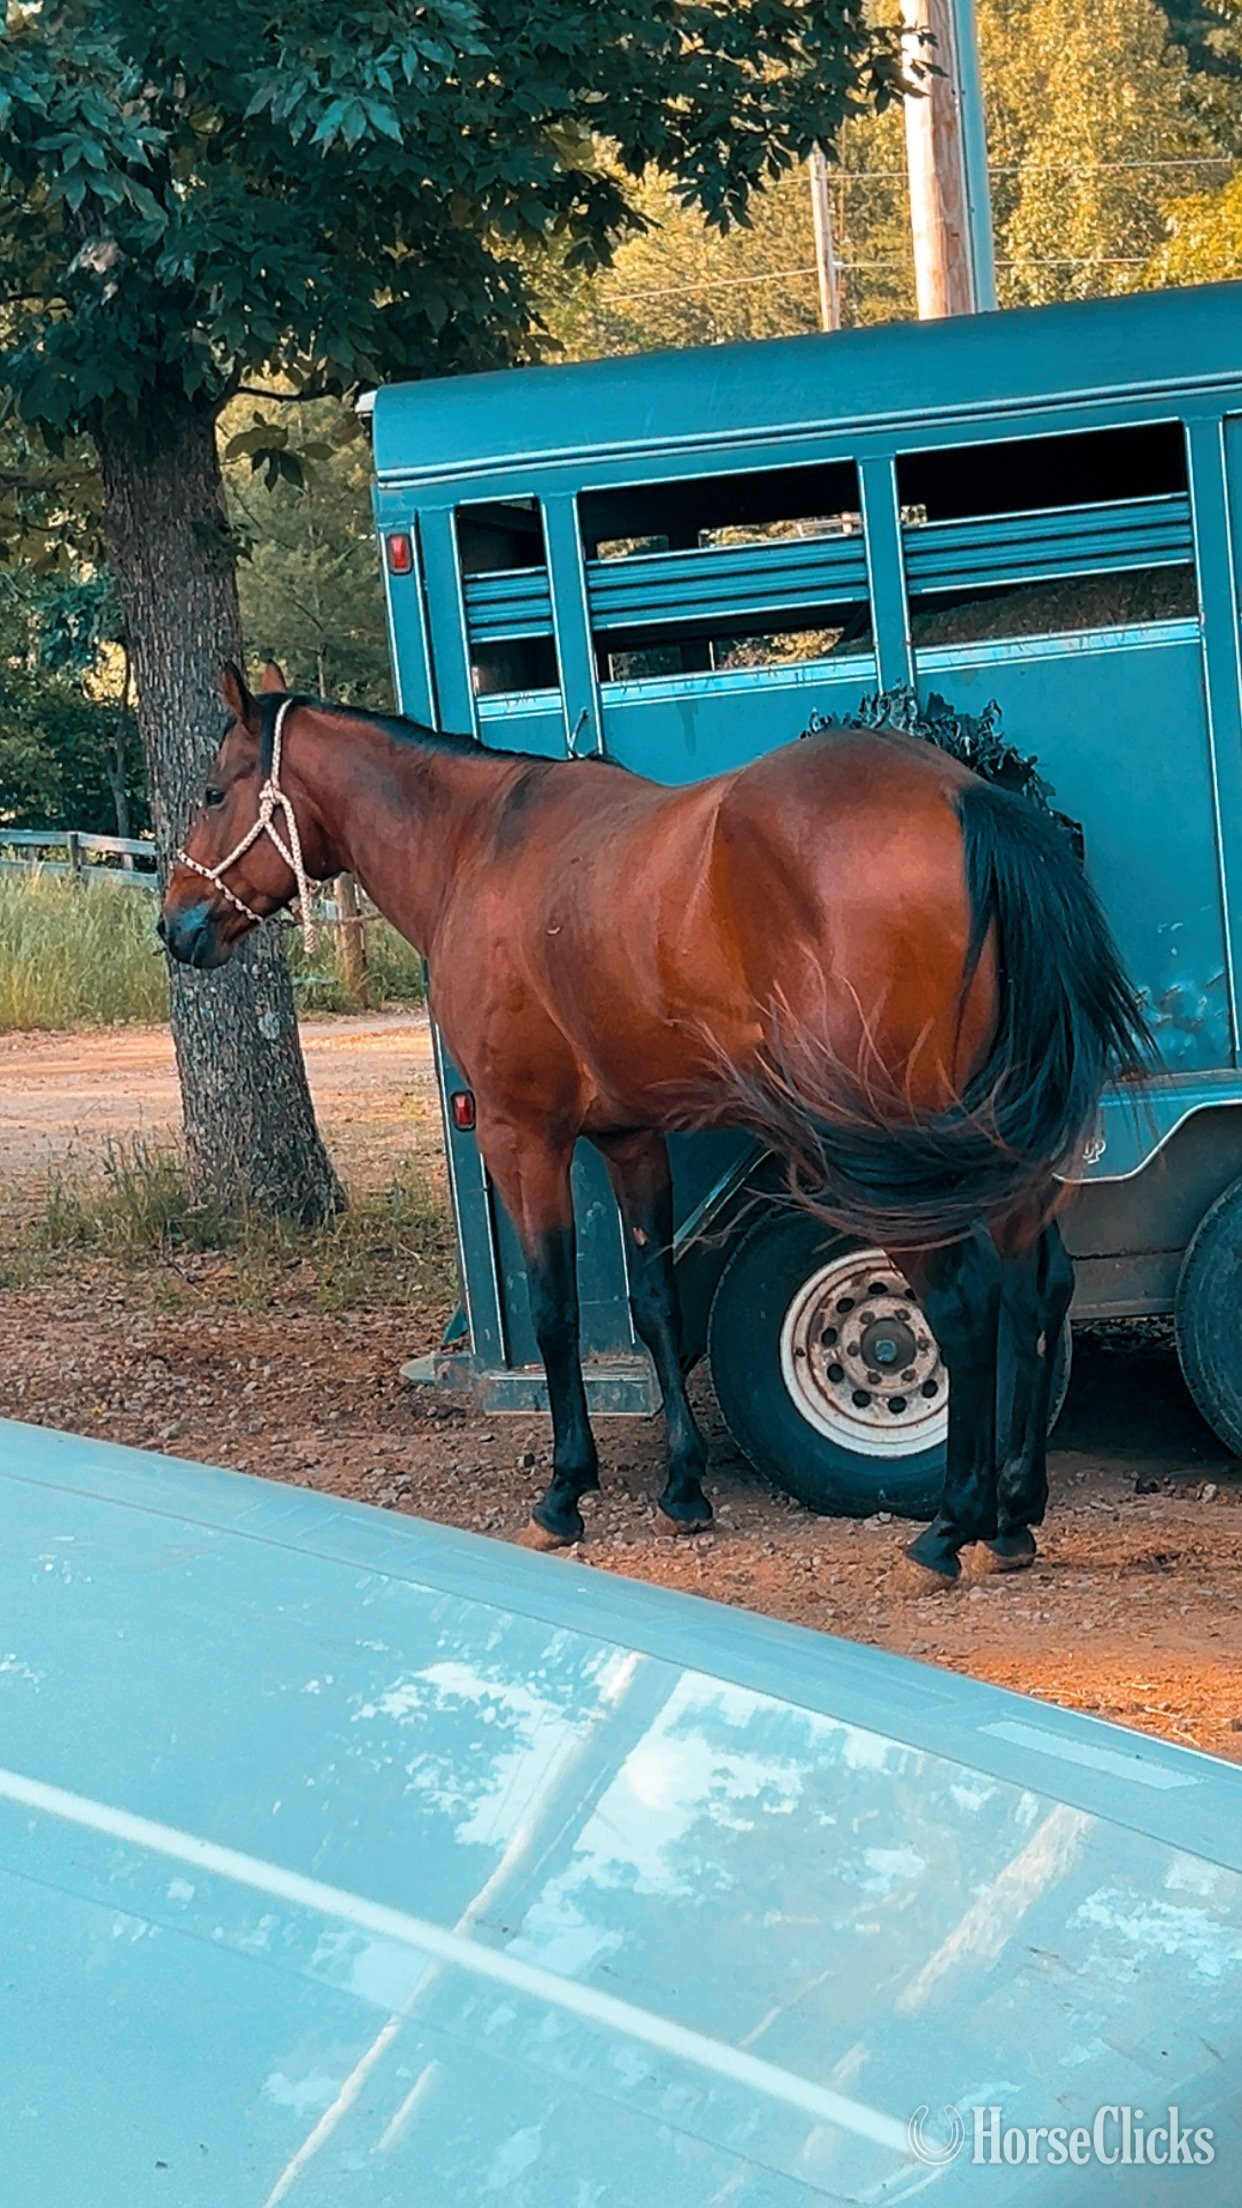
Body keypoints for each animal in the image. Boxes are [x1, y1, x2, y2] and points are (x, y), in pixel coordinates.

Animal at [159, 660, 1149, 1587]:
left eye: (211, 791)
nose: (175, 926)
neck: (481, 846)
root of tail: (965, 794)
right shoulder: (632, 1139)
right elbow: (656, 1304)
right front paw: (683, 1488)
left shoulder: (526, 1136)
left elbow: (556, 1309)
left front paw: (566, 1492)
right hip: (998, 1149)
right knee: (1037, 1288)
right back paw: (1015, 1517)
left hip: (890, 1158)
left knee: (961, 1306)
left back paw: (951, 1527)